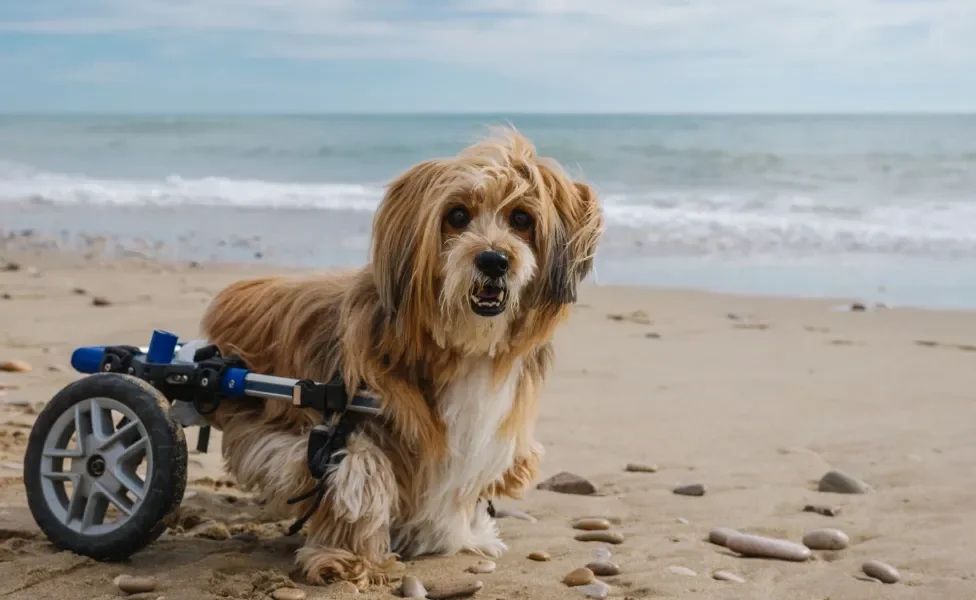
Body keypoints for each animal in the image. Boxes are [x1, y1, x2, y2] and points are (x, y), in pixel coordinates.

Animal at [198, 129, 604, 588]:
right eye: (457, 215)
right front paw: (347, 556)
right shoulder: (310, 422)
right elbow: (358, 471)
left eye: (521, 219)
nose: (494, 260)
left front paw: (455, 534)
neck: (459, 345)